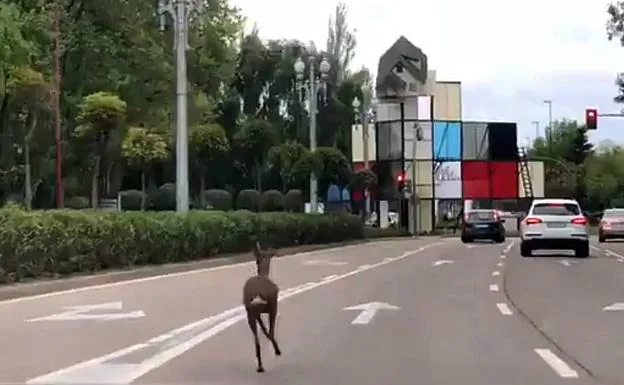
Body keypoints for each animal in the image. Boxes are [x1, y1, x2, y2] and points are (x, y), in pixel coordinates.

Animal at [243, 240, 282, 372]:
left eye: (257, 260)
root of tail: (257, 295)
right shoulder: (273, 307)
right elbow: (270, 331)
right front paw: (277, 350)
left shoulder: (257, 314)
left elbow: (264, 330)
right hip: (270, 306)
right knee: (270, 331)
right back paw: (276, 351)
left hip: (249, 312)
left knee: (256, 339)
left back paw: (260, 366)